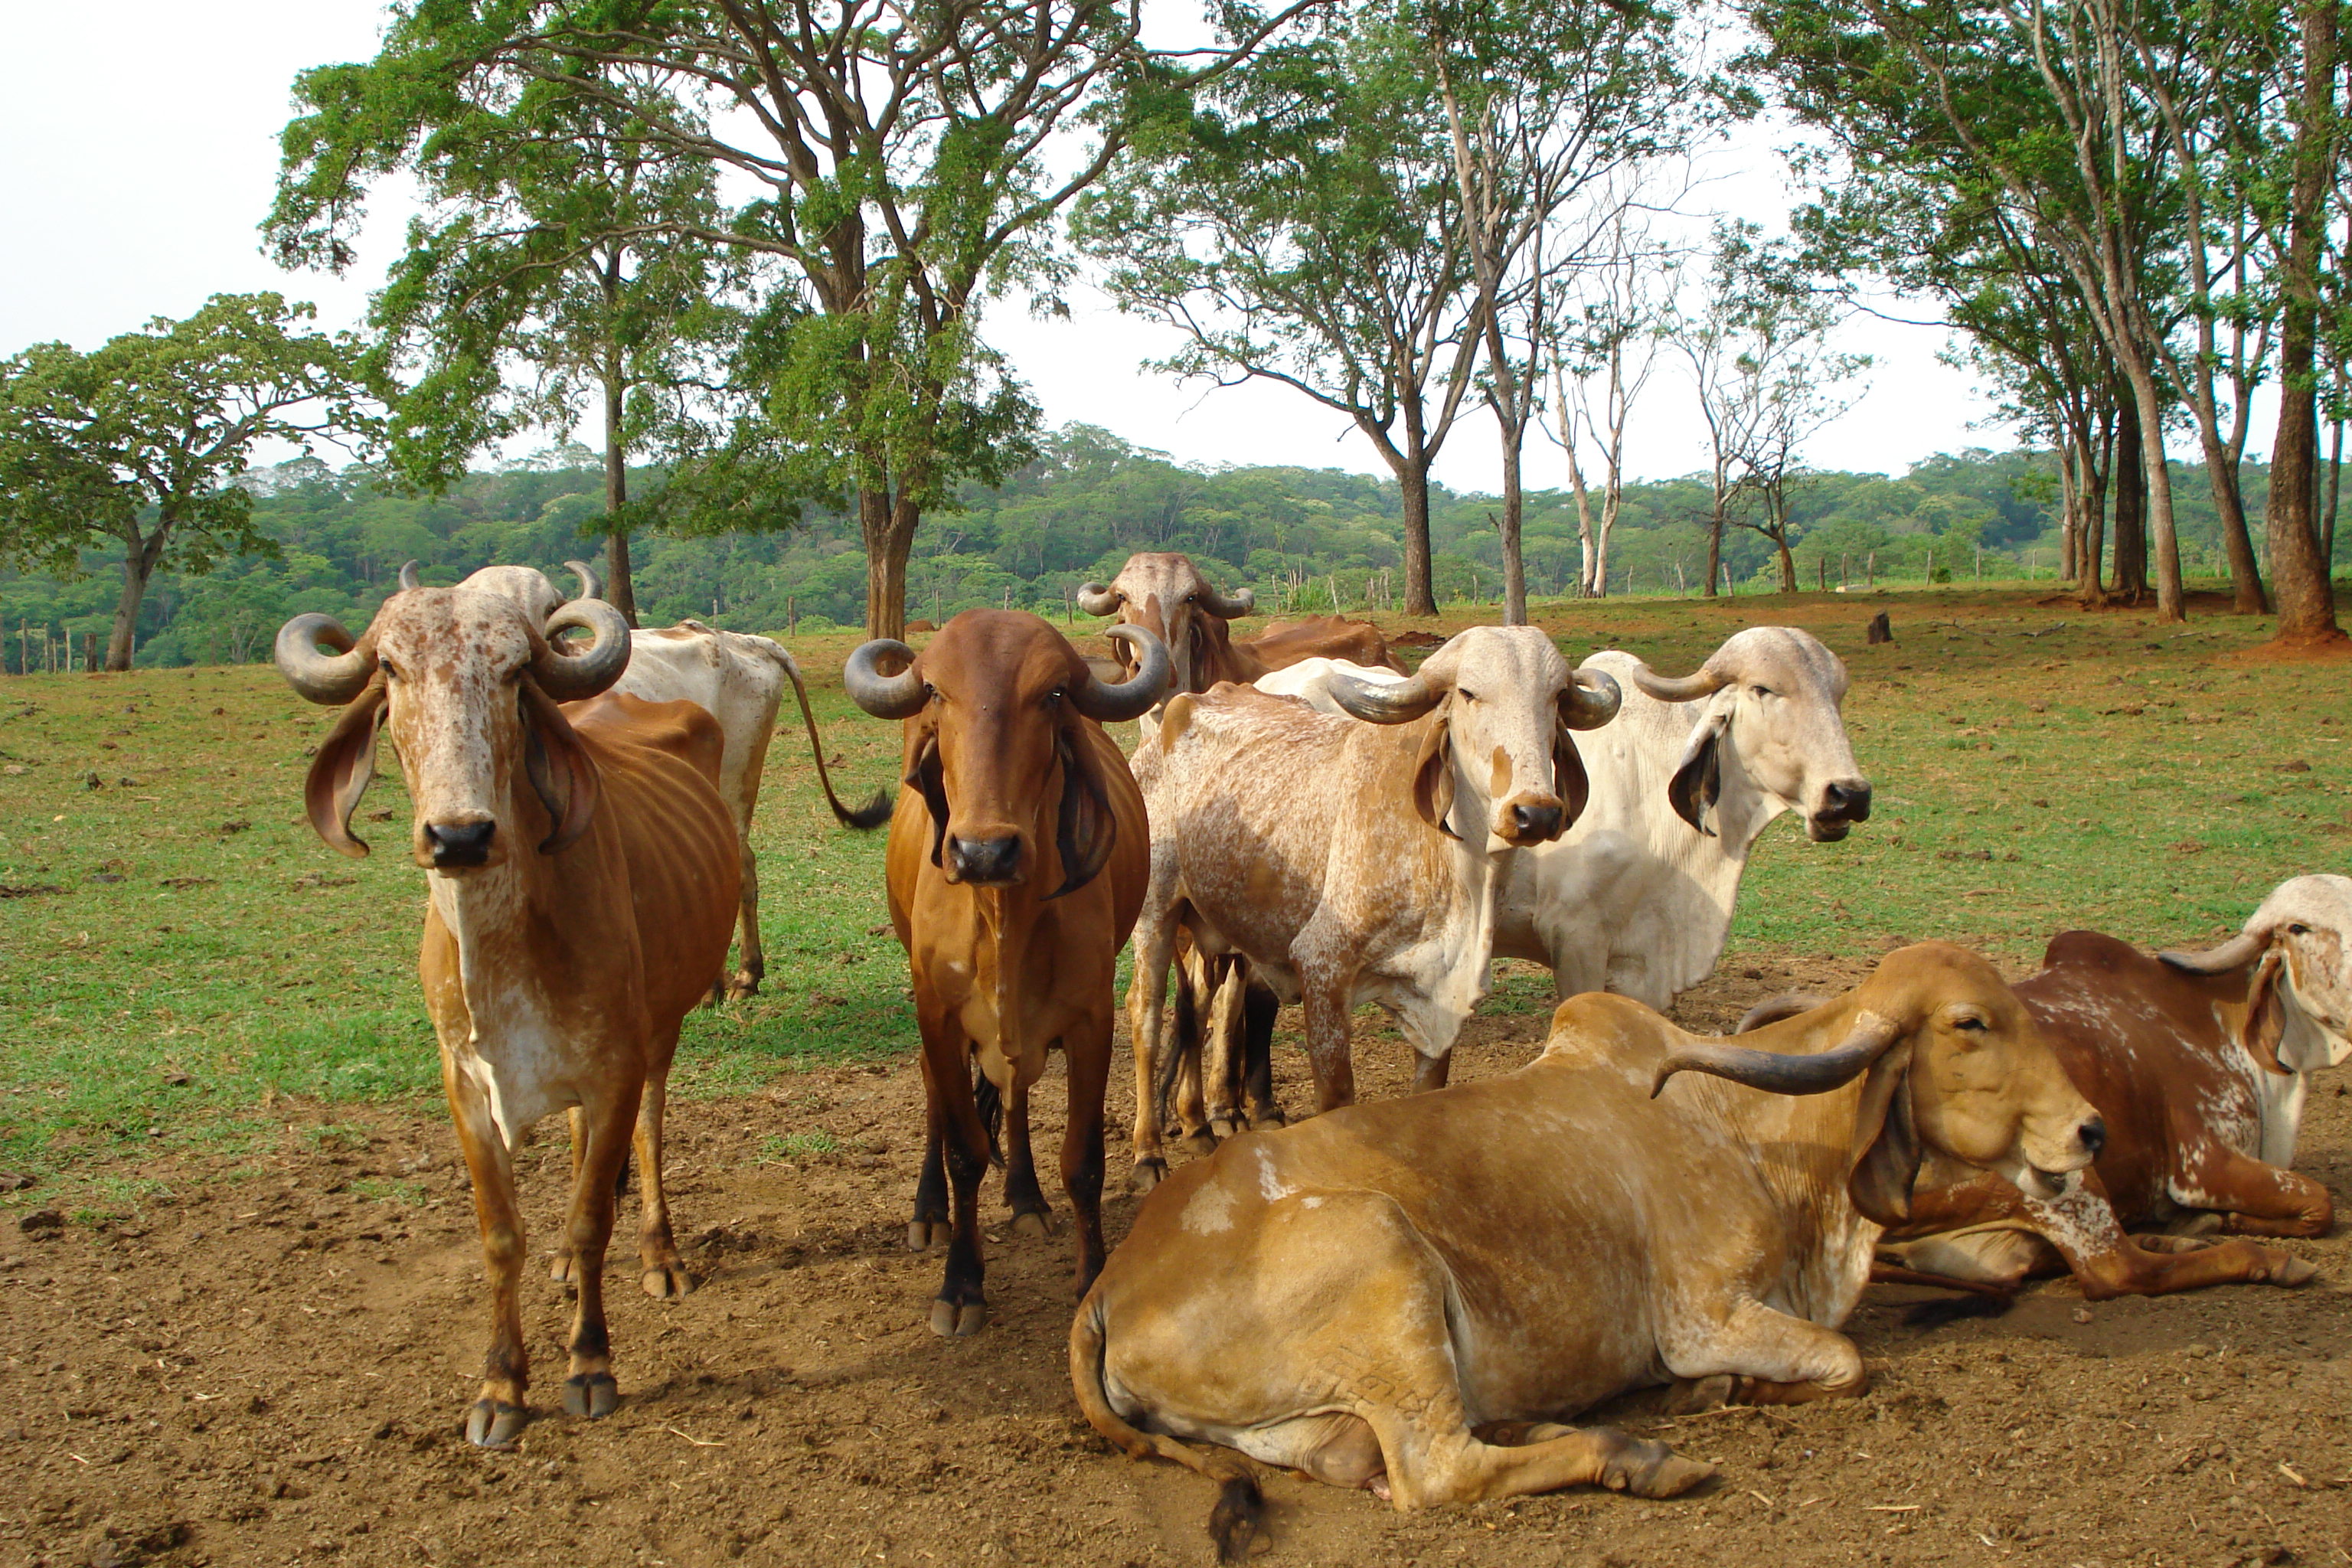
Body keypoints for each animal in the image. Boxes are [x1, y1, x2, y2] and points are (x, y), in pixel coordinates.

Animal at [275, 561, 738, 1448]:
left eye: (515, 671)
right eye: (391, 669)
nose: (458, 835)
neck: (504, 944)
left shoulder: (615, 1061)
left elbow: (594, 1216)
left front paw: (589, 1364)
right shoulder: (463, 1082)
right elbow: (501, 1234)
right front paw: (501, 1384)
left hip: (662, 1025)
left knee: (649, 1131)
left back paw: (659, 1253)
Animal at [846, 606, 1176, 1335]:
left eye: (1052, 694)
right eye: (935, 691)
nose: (984, 850)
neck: (1002, 916)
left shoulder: (1089, 1020)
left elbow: (1083, 1161)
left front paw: (1089, 1273)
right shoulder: (937, 1016)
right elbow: (965, 1150)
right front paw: (961, 1285)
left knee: (1018, 1093)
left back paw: (1025, 1196)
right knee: (940, 1100)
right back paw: (929, 1212)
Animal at [1076, 945, 2107, 1560]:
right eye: (1972, 1022)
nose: (2090, 1128)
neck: (1746, 1128)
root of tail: (1114, 1283)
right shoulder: (1704, 1313)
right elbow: (1846, 1360)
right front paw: (1725, 1389)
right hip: (1384, 1251)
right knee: (1441, 1470)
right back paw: (1637, 1455)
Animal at [1119, 625, 1618, 1189]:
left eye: (1555, 698)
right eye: (1468, 693)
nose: (1535, 812)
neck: (1451, 863)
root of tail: (1176, 713)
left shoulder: (1438, 996)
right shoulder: (1323, 969)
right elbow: (1337, 1100)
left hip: (1210, 925)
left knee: (1201, 1006)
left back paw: (1201, 1124)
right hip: (1155, 913)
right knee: (1146, 1014)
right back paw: (1148, 1154)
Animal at [1834, 870, 2352, 1297]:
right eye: (2300, 929)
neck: (2213, 1017)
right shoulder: (2202, 1165)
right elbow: (2320, 1202)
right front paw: (2233, 1218)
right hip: (2060, 1171)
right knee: (2119, 1271)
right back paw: (2263, 1259)